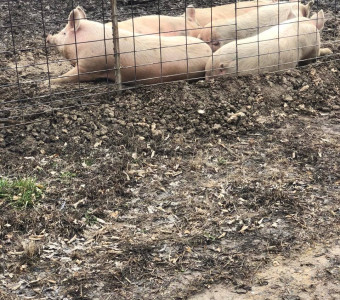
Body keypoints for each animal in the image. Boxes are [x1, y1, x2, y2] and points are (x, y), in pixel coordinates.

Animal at [46, 6, 211, 85]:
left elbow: (69, 76)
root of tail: (209, 51)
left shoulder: (90, 65)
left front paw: (47, 82)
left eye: (63, 33)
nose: (48, 37)